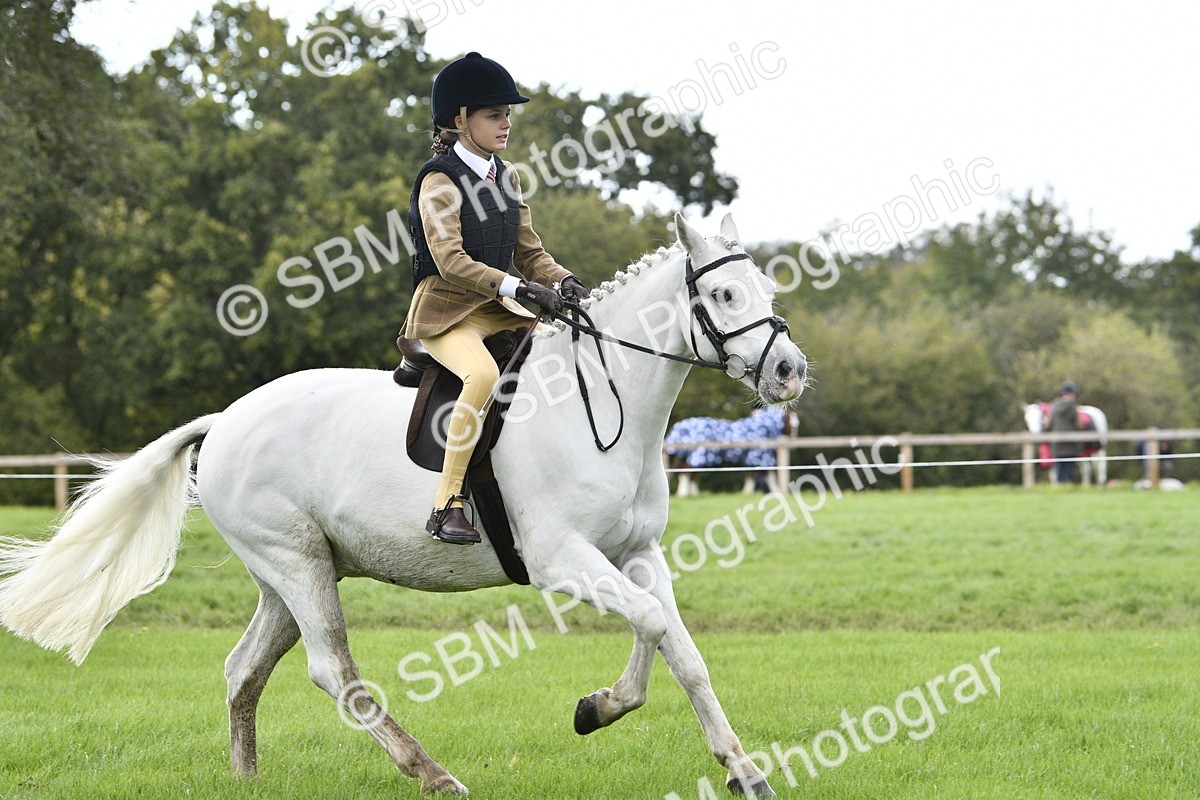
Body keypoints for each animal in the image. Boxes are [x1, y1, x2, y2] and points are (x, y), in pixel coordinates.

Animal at [665, 406, 798, 496]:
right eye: (793, 425)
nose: (793, 439)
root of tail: (679, 427)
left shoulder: (755, 460)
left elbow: (754, 476)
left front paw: (747, 492)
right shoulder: (761, 458)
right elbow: (767, 476)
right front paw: (776, 491)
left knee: (690, 475)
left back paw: (693, 493)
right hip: (698, 456)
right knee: (685, 473)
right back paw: (683, 493)